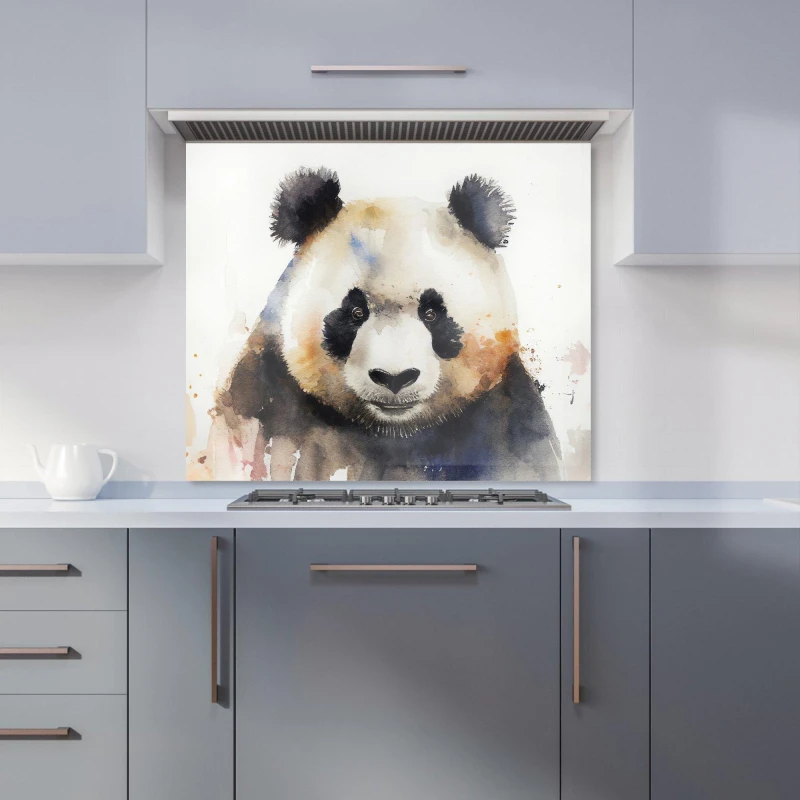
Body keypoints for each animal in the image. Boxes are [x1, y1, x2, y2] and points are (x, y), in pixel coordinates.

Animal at [208, 167, 562, 481]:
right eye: (355, 312)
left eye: (432, 314)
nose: (395, 378)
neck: (393, 433)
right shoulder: (268, 398)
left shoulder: (501, 414)